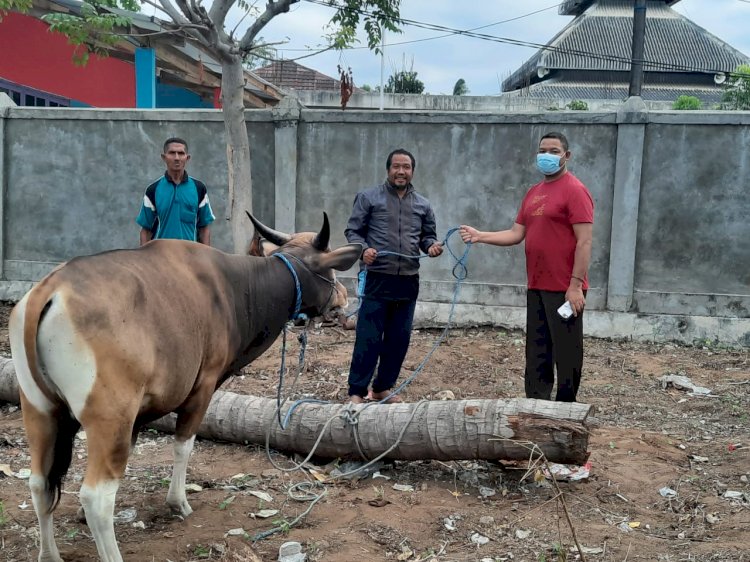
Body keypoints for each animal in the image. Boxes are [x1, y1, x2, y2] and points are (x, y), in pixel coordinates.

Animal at [10, 211, 362, 560]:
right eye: (331, 270)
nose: (344, 298)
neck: (238, 289)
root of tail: (48, 292)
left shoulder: (136, 417)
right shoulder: (202, 387)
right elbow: (183, 446)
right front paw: (178, 502)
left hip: (39, 411)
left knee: (40, 482)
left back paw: (49, 554)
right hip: (109, 418)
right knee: (96, 497)